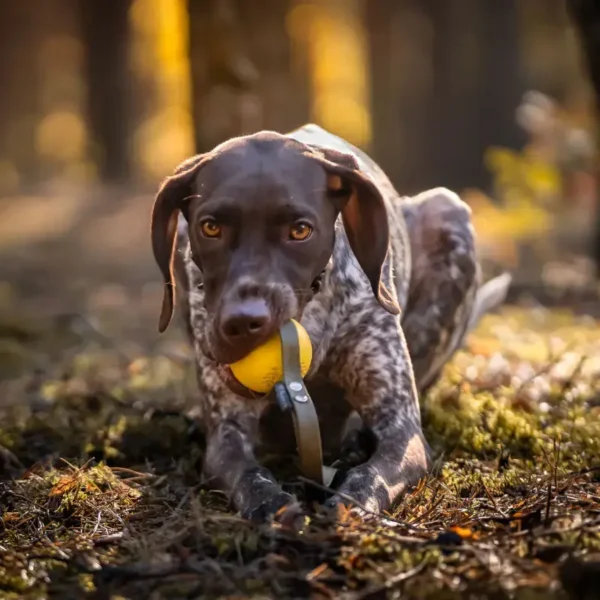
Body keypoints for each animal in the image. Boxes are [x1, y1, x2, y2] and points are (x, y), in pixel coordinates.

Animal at [150, 124, 510, 524]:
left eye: (300, 231)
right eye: (211, 228)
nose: (243, 322)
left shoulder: (402, 428)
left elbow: (372, 474)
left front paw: (351, 502)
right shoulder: (228, 432)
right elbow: (248, 474)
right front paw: (271, 504)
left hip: (447, 213)